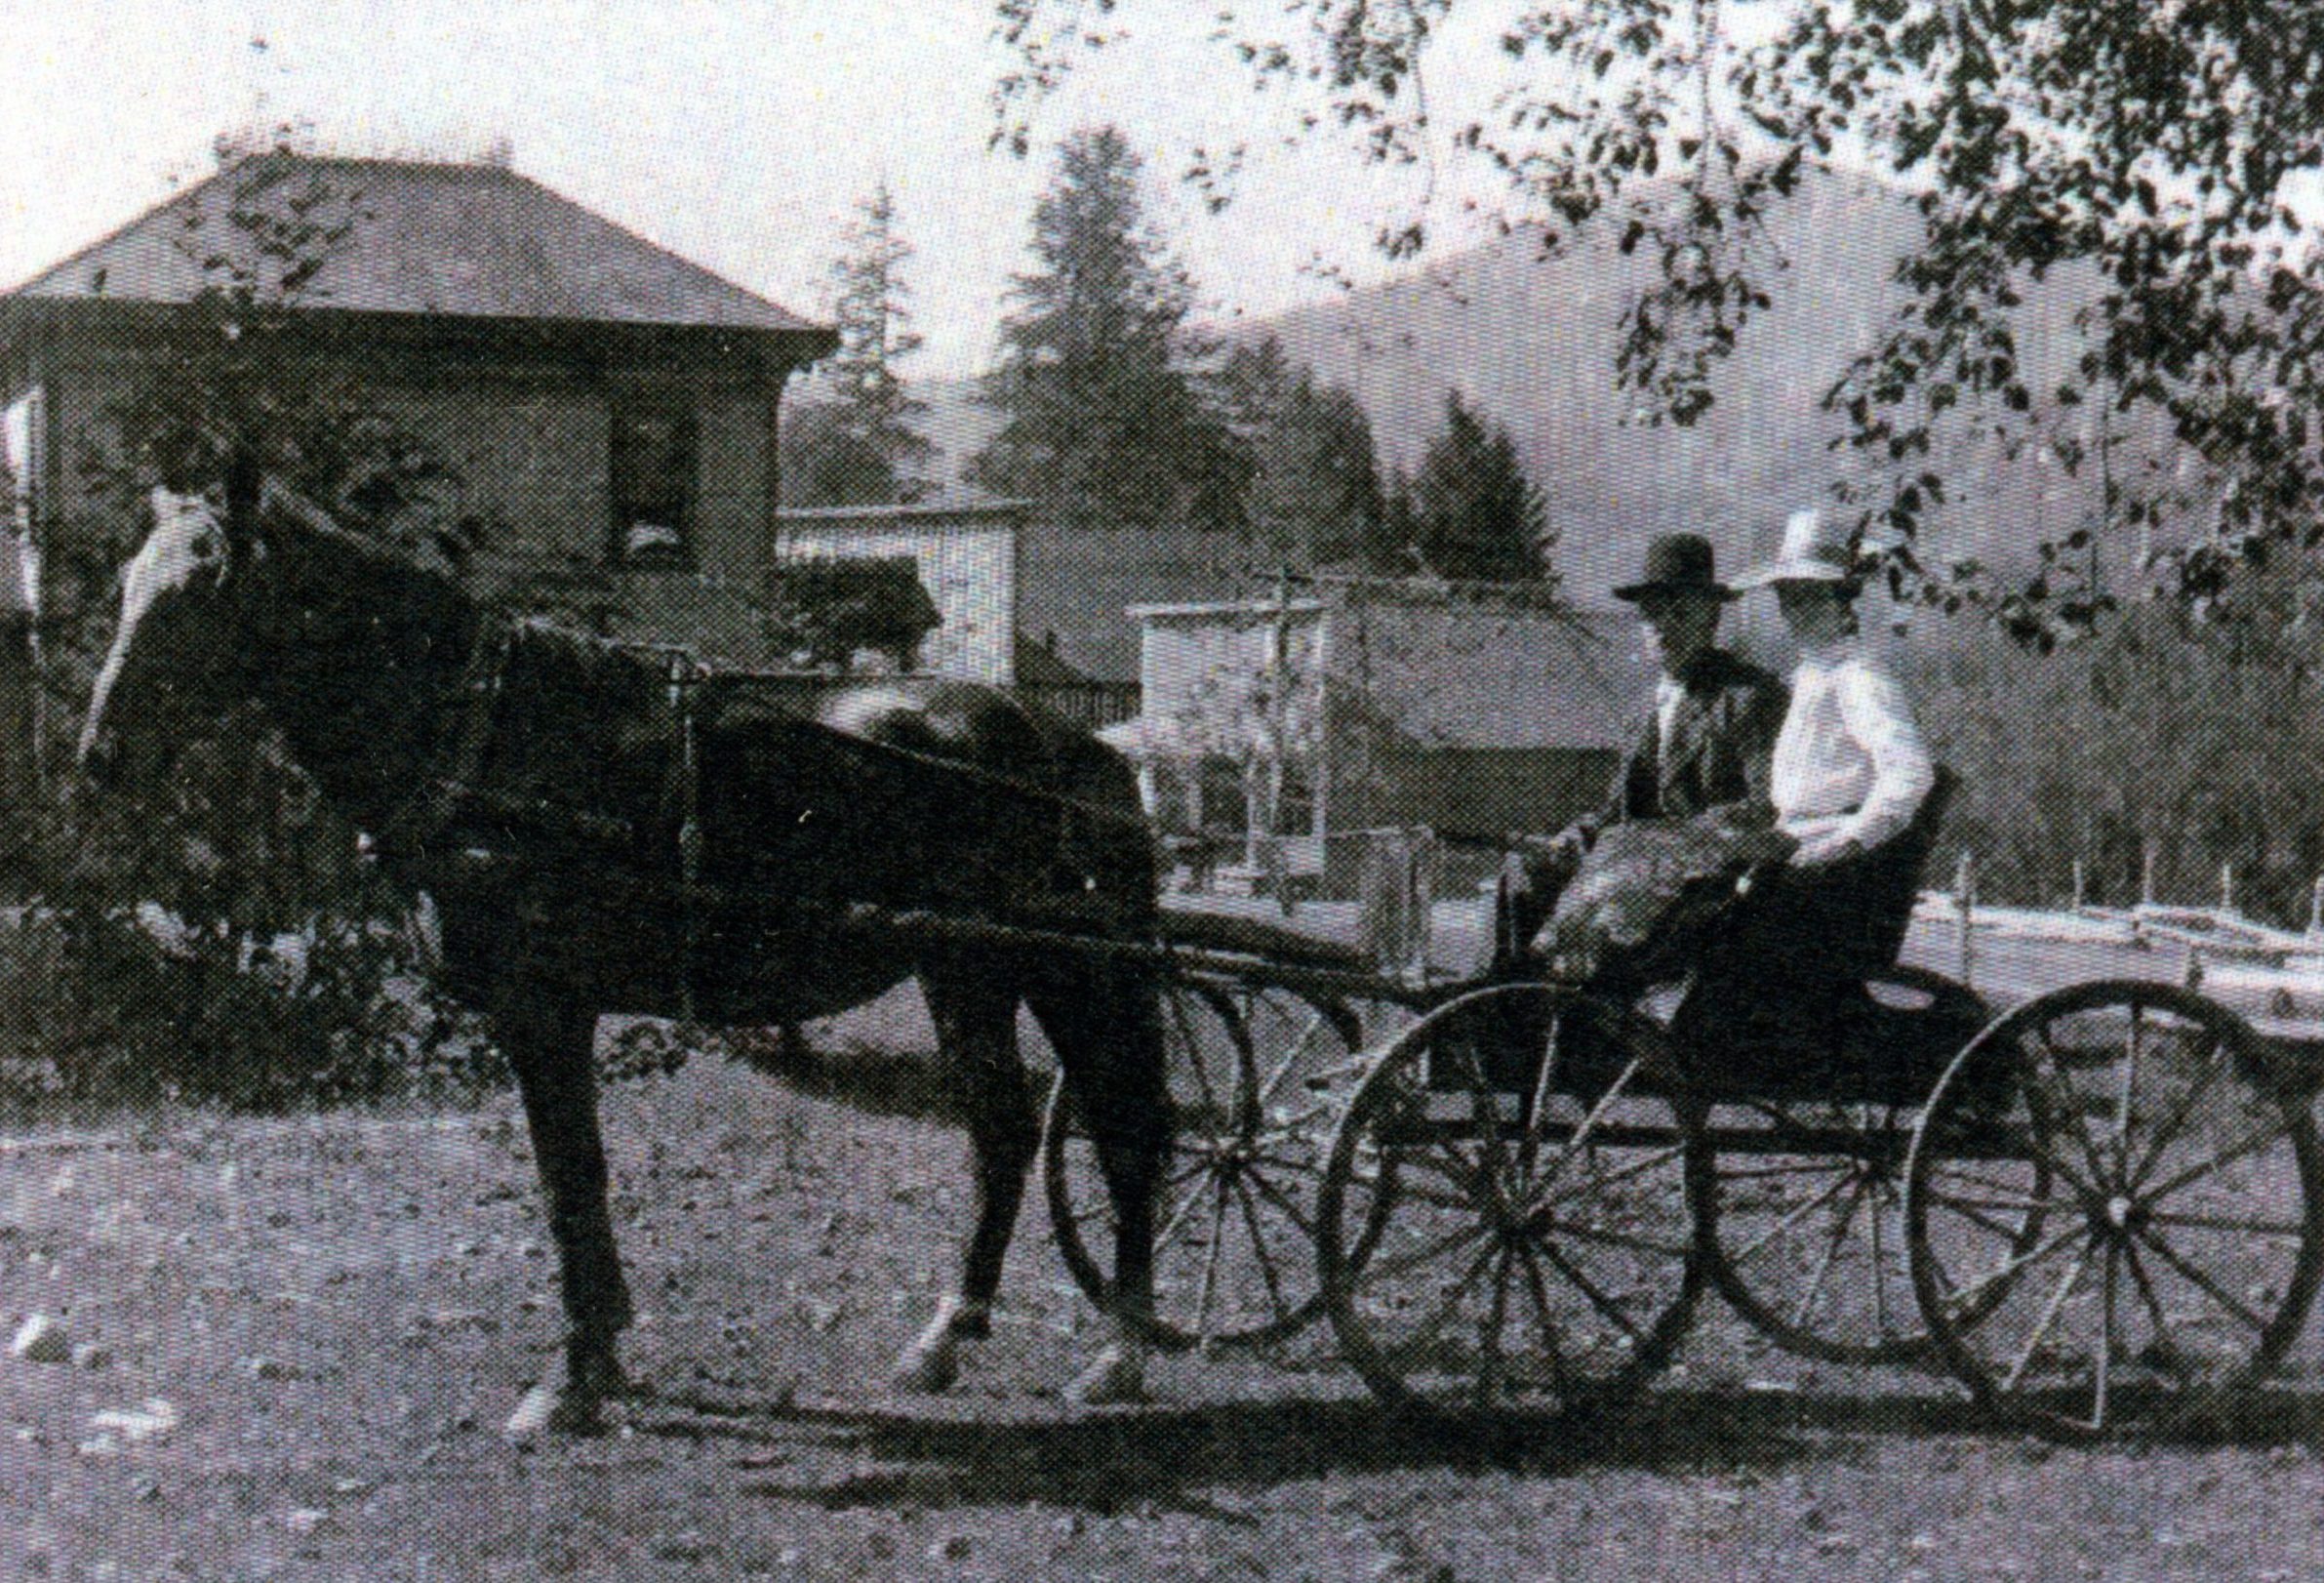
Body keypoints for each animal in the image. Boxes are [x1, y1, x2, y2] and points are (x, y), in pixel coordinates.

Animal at [78, 465, 1171, 1438]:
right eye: (128, 582)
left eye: (201, 589)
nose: (99, 756)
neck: (490, 731)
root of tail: (1073, 746)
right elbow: (574, 1180)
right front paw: (601, 1358)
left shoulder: (545, 1008)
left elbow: (572, 1180)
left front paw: (572, 1378)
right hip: (966, 970)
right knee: (1002, 1131)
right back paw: (948, 1336)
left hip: (1066, 969)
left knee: (1125, 1126)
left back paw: (1121, 1349)